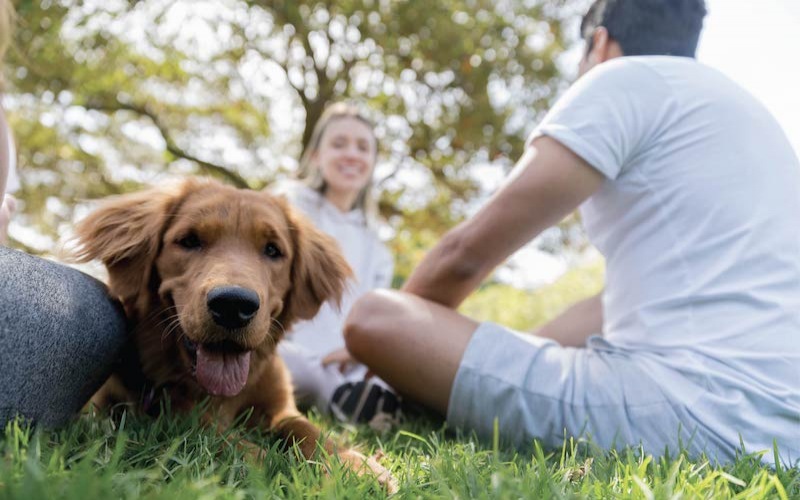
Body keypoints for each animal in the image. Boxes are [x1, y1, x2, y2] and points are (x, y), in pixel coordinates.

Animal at [74, 178, 396, 490]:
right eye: (189, 241)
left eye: (272, 250)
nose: (233, 305)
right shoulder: (173, 411)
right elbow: (224, 438)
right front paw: (282, 467)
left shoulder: (281, 407)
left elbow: (309, 430)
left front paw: (356, 468)